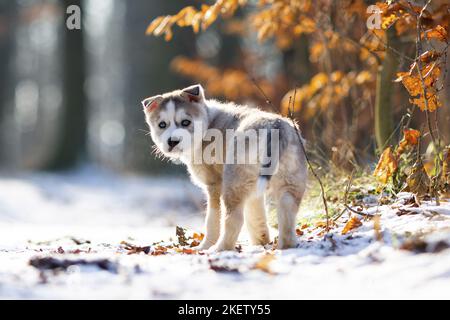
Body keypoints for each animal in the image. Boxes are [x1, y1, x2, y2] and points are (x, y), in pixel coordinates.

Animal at [142, 85, 308, 252]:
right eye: (162, 125)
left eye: (185, 122)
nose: (173, 141)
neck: (207, 125)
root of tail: (275, 127)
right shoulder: (254, 193)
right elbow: (256, 217)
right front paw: (260, 243)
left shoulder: (214, 185)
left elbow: (212, 220)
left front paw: (204, 246)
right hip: (289, 182)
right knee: (287, 213)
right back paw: (285, 247)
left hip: (233, 182)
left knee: (234, 218)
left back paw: (219, 249)